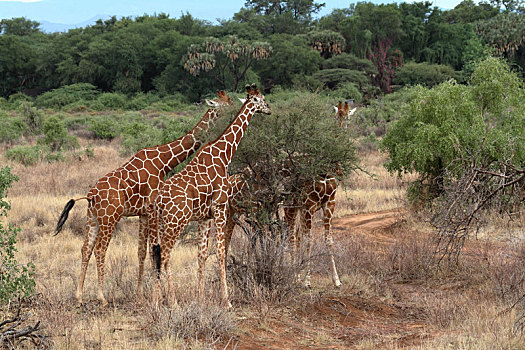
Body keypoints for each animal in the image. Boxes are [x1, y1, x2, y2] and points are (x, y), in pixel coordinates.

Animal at [54, 91, 231, 306]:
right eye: (223, 104)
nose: (233, 108)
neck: (164, 162)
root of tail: (90, 195)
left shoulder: (143, 213)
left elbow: (142, 252)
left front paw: (140, 296)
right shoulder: (153, 209)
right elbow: (155, 250)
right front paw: (160, 296)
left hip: (92, 218)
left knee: (85, 249)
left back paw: (79, 296)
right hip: (109, 219)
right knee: (100, 250)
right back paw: (102, 297)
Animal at [147, 84, 270, 306]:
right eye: (262, 99)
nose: (269, 109)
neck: (224, 154)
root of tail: (158, 201)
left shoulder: (205, 216)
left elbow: (202, 254)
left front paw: (201, 298)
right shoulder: (220, 208)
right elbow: (221, 252)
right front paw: (226, 301)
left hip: (159, 223)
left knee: (155, 255)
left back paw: (156, 300)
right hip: (176, 222)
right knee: (166, 256)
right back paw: (173, 302)